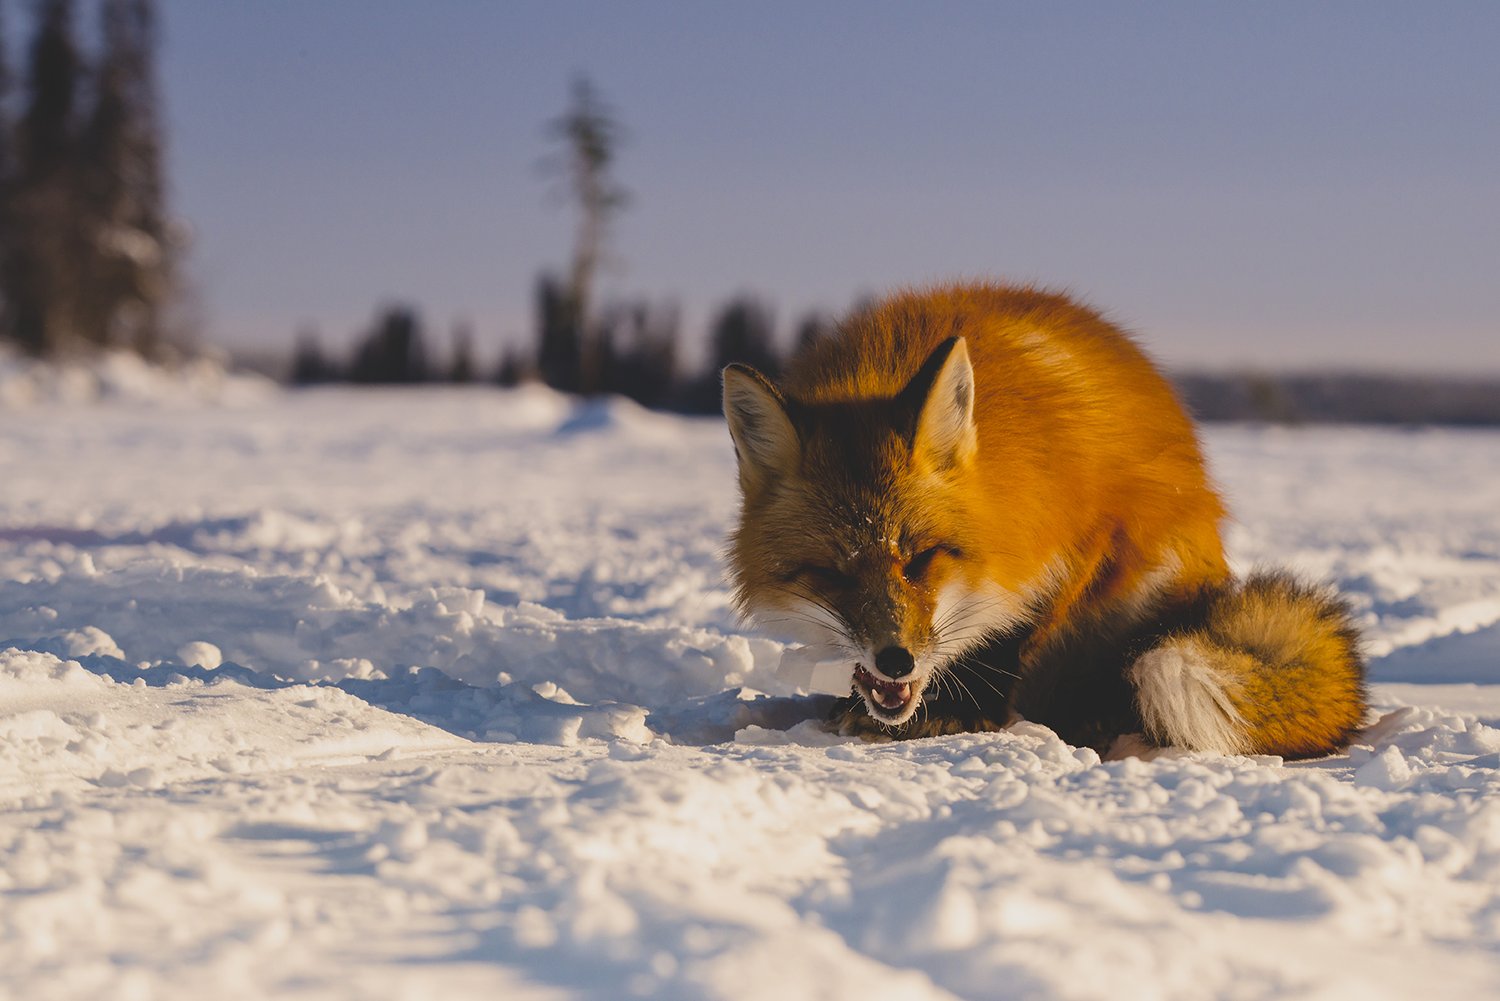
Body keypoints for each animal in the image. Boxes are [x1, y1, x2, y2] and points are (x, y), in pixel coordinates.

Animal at [722, 281, 1366, 758]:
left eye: (922, 558)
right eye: (831, 573)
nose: (895, 660)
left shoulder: (1090, 536)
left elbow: (1013, 633)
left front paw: (957, 711)